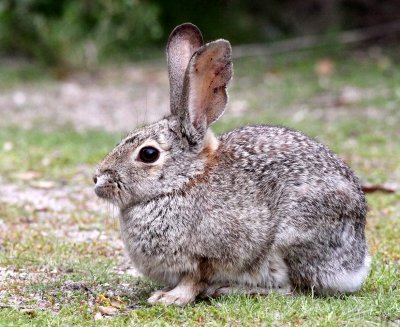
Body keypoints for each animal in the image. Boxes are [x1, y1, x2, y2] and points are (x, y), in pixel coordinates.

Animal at [93, 23, 368, 308]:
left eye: (148, 154)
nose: (98, 179)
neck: (183, 183)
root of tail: (356, 265)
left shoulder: (208, 256)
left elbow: (194, 280)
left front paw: (169, 298)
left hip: (292, 239)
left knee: (293, 288)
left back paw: (231, 290)